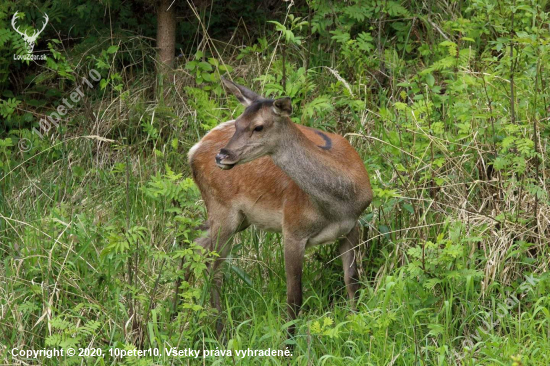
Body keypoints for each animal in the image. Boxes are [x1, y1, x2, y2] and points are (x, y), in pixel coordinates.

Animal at [189, 78, 376, 338]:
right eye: (237, 123)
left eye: (258, 127)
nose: (222, 156)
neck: (337, 204)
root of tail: (194, 150)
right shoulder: (293, 228)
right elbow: (294, 297)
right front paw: (290, 341)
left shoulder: (351, 226)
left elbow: (352, 281)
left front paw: (356, 323)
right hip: (222, 209)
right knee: (213, 269)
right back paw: (219, 331)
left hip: (238, 218)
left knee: (196, 245)